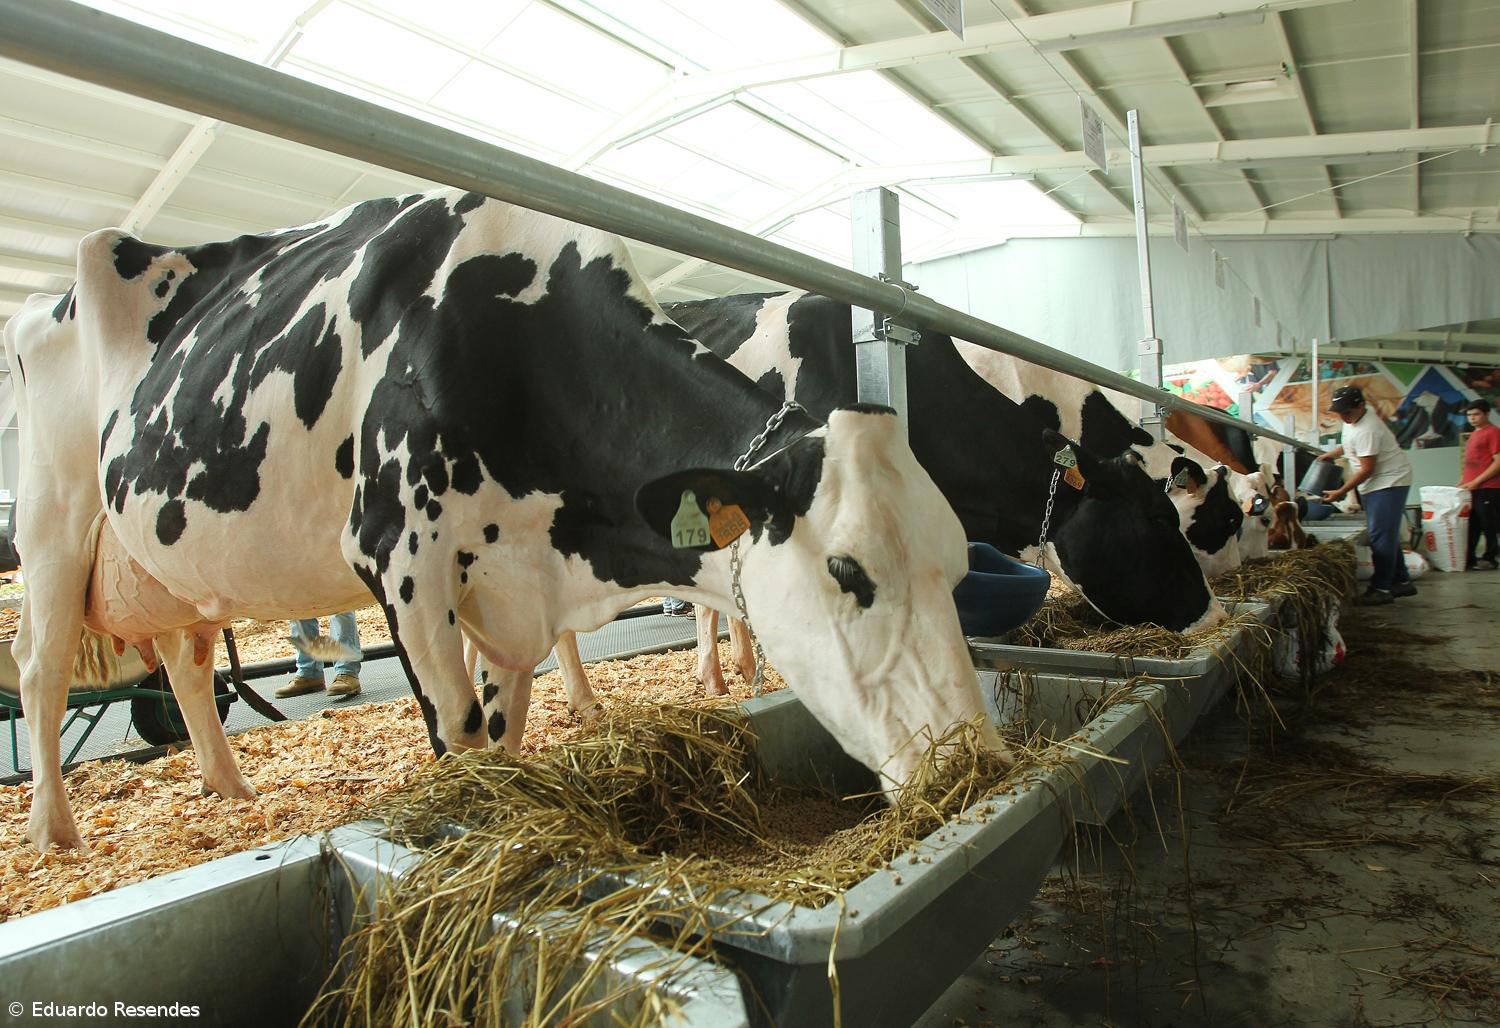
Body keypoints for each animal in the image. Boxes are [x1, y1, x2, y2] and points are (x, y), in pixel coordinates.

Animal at [4, 190, 996, 851]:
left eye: (957, 570)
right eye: (848, 572)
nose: (971, 765)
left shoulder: (513, 584)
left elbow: (509, 721)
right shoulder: (402, 562)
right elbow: (465, 736)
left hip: (167, 562)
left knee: (183, 656)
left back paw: (229, 785)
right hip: (50, 522)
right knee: (43, 670)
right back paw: (54, 833)